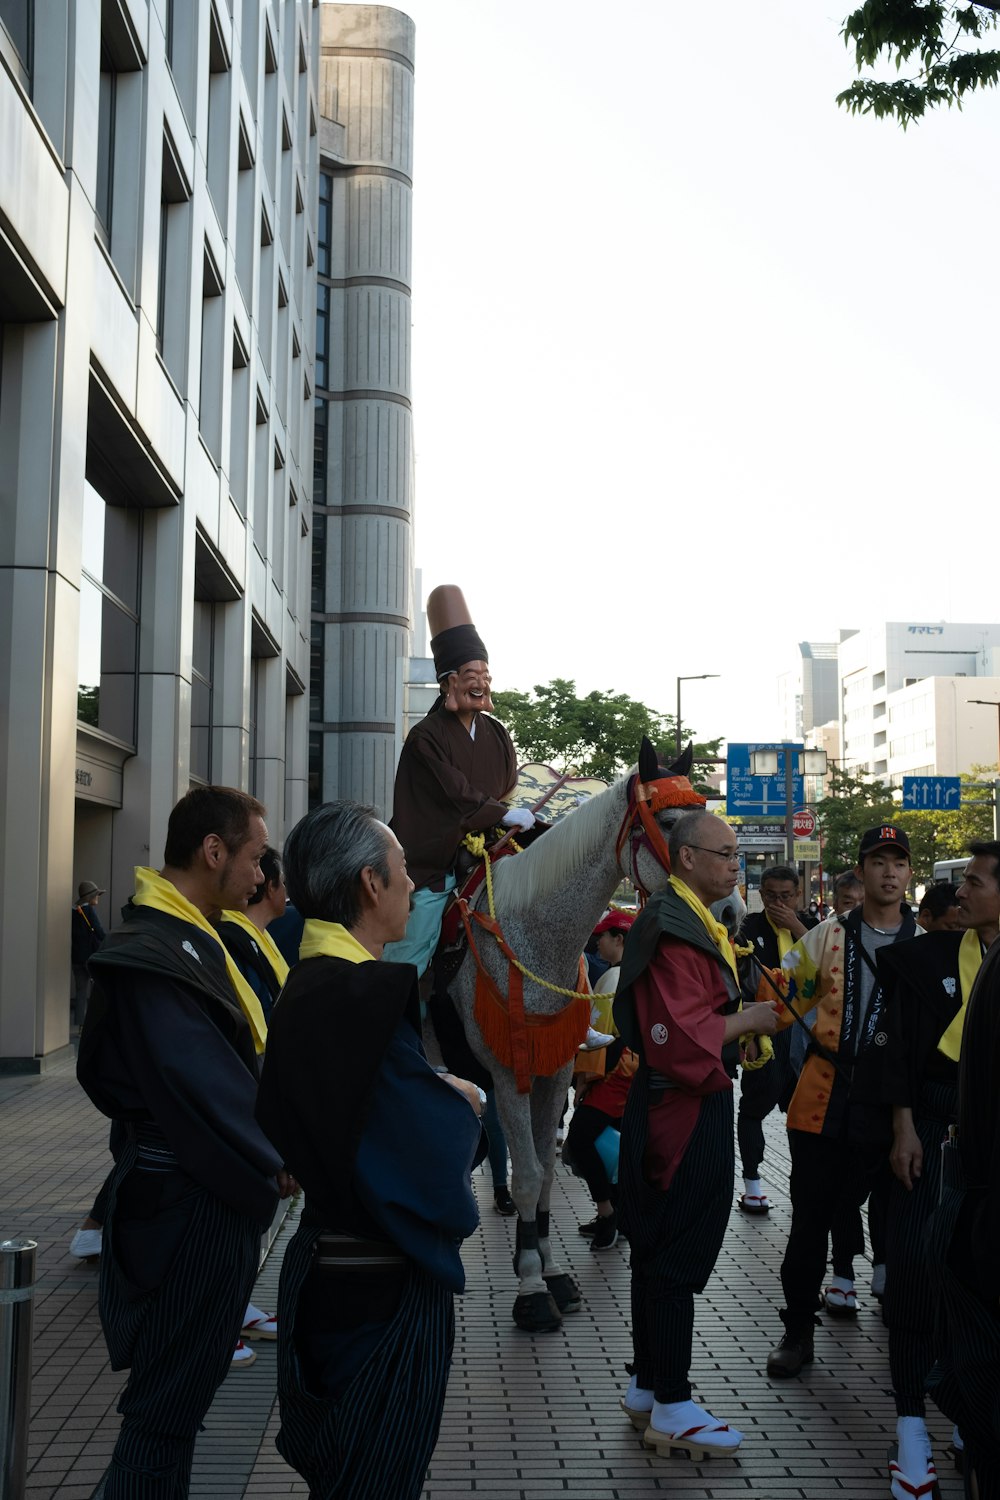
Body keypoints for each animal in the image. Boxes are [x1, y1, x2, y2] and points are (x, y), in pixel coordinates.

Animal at [446, 732, 743, 1332]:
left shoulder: (555, 1068)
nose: (731, 910)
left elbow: (546, 1174)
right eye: (670, 821)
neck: (537, 933)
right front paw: (532, 1290)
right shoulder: (509, 1072)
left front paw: (551, 1273)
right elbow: (527, 1174)